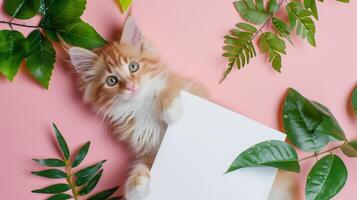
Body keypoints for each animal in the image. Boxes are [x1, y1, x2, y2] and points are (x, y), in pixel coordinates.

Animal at [68, 16, 196, 199]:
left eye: (133, 66)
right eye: (112, 81)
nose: (130, 86)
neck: (142, 106)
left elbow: (170, 89)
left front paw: (170, 110)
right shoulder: (150, 150)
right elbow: (144, 166)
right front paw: (137, 185)